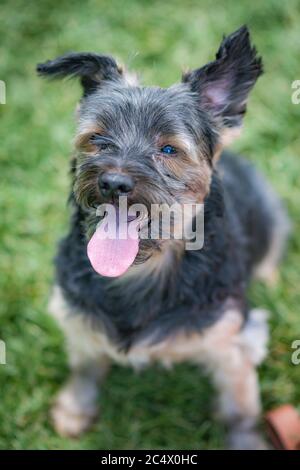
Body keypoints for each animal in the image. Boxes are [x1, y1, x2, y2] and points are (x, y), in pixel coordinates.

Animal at [36, 26, 290, 452]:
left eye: (168, 149)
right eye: (98, 139)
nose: (113, 182)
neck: (142, 272)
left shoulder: (235, 341)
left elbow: (239, 407)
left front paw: (247, 442)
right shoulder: (76, 312)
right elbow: (85, 365)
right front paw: (74, 410)